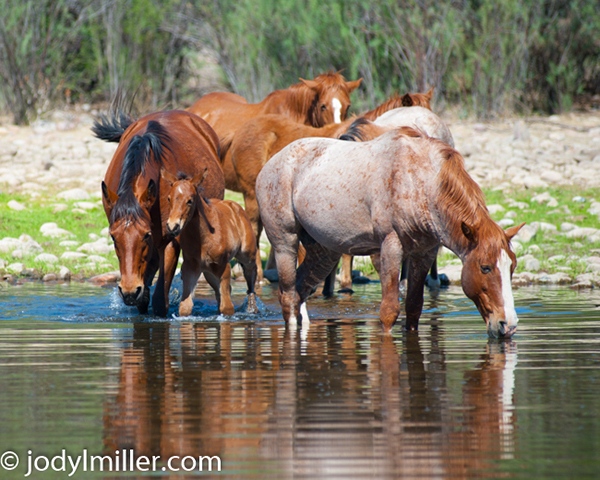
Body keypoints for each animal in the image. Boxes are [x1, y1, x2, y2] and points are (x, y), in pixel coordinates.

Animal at [95, 110, 226, 316]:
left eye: (146, 235)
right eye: (114, 237)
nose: (129, 291)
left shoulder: (169, 241)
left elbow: (159, 301)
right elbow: (143, 299)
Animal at [161, 167, 258, 316]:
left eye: (189, 200)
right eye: (169, 198)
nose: (173, 226)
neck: (203, 237)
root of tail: (236, 206)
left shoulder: (224, 266)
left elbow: (227, 308)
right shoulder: (190, 267)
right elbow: (185, 307)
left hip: (247, 253)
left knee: (251, 273)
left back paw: (252, 308)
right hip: (209, 272)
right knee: (220, 292)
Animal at [258, 127, 524, 338]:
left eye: (511, 266)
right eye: (485, 267)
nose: (508, 325)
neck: (419, 182)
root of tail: (269, 165)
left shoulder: (424, 252)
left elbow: (414, 308)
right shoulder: (391, 247)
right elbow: (388, 312)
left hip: (324, 253)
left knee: (300, 292)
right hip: (285, 244)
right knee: (288, 297)